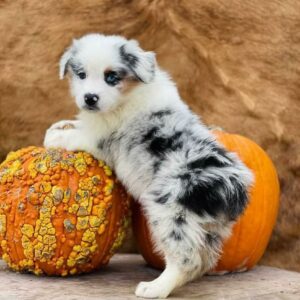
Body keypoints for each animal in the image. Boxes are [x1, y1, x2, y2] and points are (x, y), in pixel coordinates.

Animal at [43, 33, 252, 298]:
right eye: (81, 74)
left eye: (111, 77)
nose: (90, 98)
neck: (129, 94)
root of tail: (233, 189)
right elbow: (74, 124)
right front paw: (61, 124)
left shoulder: (98, 139)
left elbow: (71, 136)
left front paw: (53, 136)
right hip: (211, 229)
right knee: (204, 261)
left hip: (171, 215)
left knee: (187, 260)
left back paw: (155, 288)